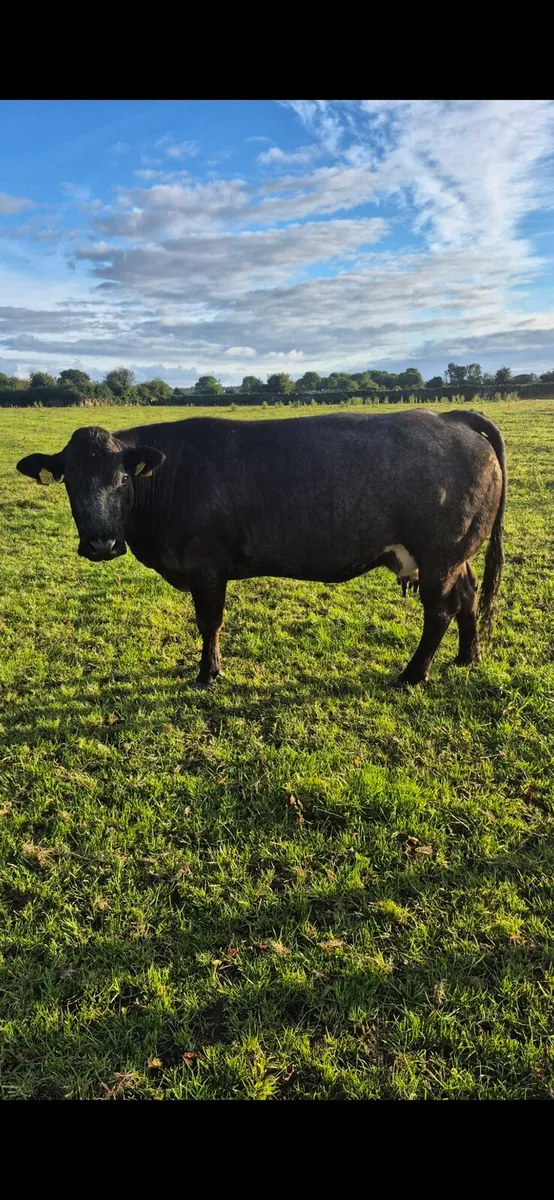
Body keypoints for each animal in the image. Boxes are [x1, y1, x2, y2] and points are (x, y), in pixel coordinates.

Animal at [16, 408, 506, 689]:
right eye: (70, 482)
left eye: (122, 479)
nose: (101, 543)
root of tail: (450, 417)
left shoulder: (207, 567)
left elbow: (209, 622)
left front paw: (208, 674)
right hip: (455, 555)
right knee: (468, 596)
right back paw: (467, 656)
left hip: (440, 555)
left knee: (439, 610)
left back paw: (413, 674)